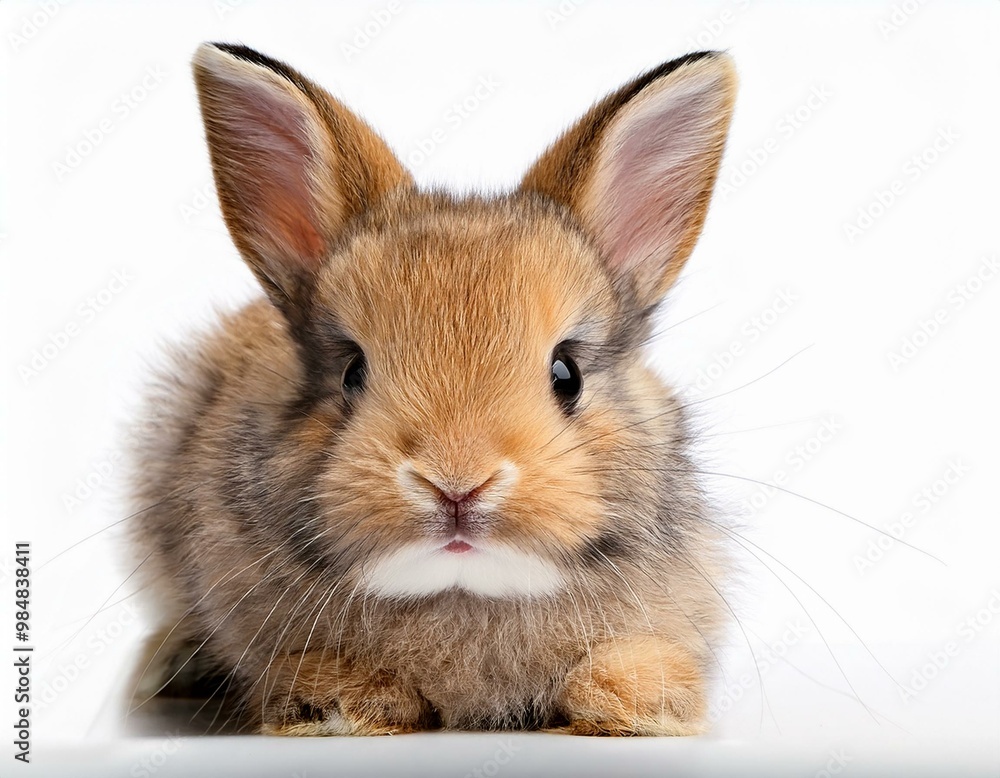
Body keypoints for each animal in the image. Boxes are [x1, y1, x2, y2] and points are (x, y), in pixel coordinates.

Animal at [126, 41, 738, 737]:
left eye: (567, 374)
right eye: (352, 371)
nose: (456, 484)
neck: (462, 591)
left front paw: (637, 704)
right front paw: (334, 704)